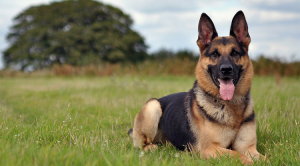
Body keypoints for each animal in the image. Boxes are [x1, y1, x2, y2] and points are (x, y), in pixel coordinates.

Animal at [127, 10, 266, 165]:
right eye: (215, 54)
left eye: (235, 53)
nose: (226, 70)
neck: (230, 105)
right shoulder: (211, 149)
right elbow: (238, 155)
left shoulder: (248, 148)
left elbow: (264, 158)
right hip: (153, 106)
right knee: (141, 145)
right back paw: (151, 147)